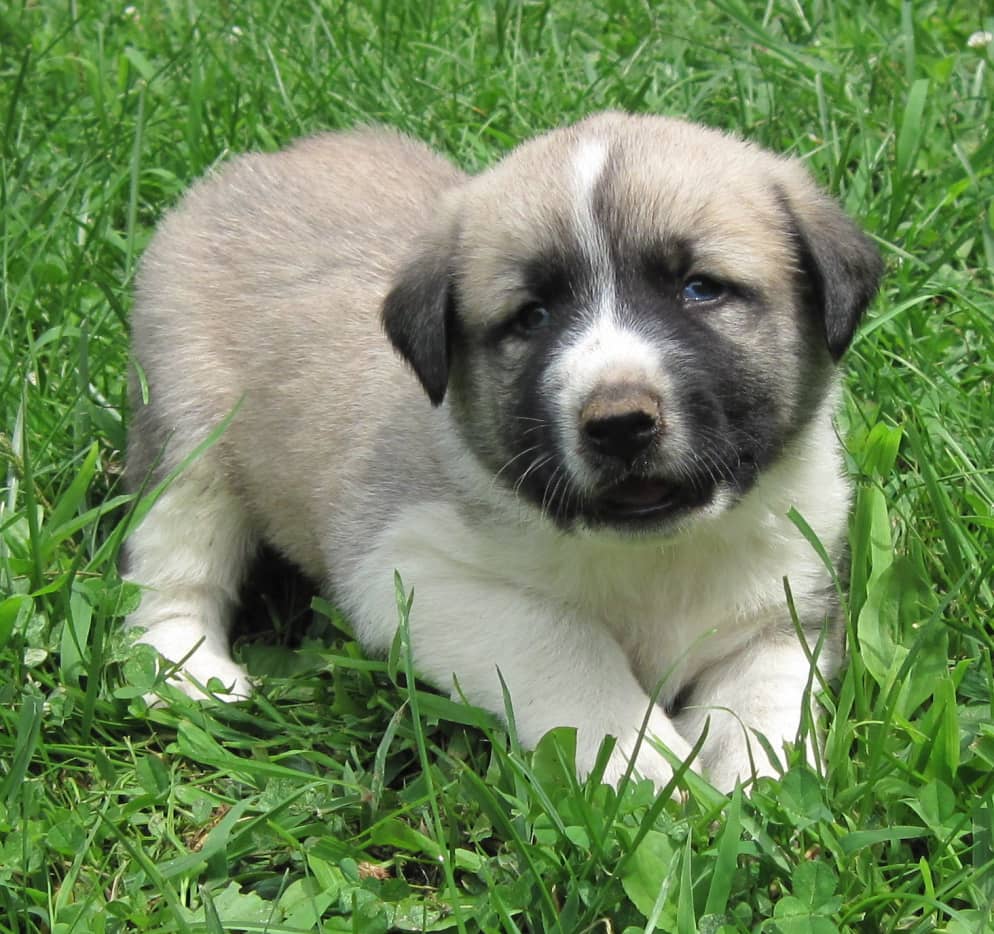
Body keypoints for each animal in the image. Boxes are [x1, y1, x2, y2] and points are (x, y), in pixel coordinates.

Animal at [124, 113, 876, 792]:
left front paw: (753, 773)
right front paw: (637, 762)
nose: (619, 425)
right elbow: (562, 638)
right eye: (532, 316)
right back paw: (188, 671)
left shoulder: (790, 591)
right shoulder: (411, 570)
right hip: (189, 440)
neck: (653, 556)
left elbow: (770, 682)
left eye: (701, 288)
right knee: (172, 567)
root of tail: (267, 160)